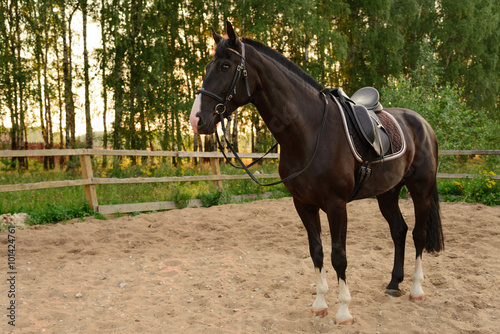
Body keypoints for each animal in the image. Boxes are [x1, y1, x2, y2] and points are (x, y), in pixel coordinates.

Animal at [189, 21, 444, 324]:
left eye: (225, 67)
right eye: (208, 66)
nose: (196, 120)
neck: (309, 131)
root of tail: (422, 124)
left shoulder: (336, 205)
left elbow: (338, 256)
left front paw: (343, 311)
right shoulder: (303, 204)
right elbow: (317, 252)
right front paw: (319, 304)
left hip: (420, 188)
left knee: (418, 234)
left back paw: (416, 289)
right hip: (387, 193)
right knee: (399, 230)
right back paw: (394, 284)